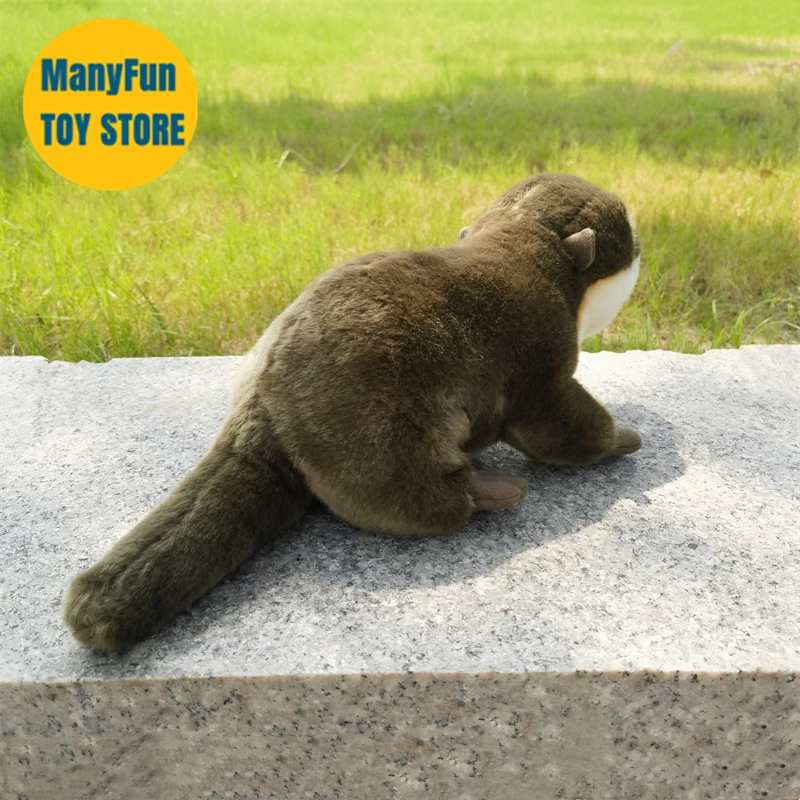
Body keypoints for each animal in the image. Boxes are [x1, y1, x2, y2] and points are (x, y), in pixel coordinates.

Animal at [64, 173, 642, 651]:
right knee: (414, 497)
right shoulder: (544, 358)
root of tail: (261, 406)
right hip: (376, 432)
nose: (643, 245)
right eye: (631, 235)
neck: (520, 247)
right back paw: (493, 490)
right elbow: (562, 432)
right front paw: (627, 438)